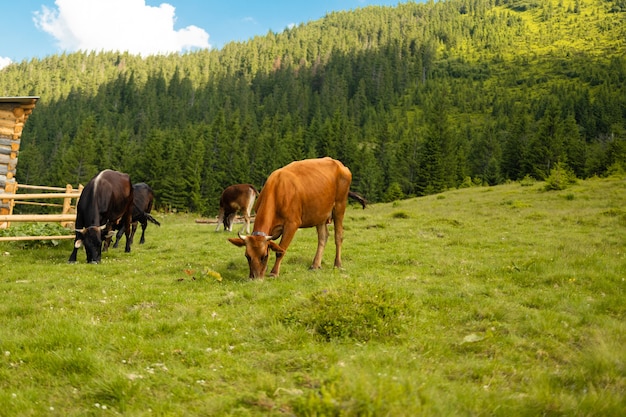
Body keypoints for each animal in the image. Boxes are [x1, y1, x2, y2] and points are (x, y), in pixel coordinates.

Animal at [228, 158, 366, 278]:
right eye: (247, 256)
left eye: (264, 256)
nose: (254, 277)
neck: (277, 191)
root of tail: (340, 164)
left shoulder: (292, 224)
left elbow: (280, 250)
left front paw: (274, 272)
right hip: (320, 213)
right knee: (323, 237)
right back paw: (315, 265)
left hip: (339, 205)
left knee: (338, 236)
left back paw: (337, 264)